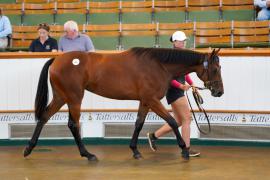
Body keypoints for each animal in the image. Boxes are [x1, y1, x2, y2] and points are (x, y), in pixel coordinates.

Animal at [23, 47, 224, 161]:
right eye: (215, 69)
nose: (219, 91)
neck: (158, 65)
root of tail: (57, 59)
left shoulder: (145, 101)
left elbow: (139, 123)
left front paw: (135, 150)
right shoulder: (152, 100)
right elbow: (173, 122)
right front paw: (184, 149)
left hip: (61, 97)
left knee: (44, 117)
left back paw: (29, 148)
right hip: (74, 98)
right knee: (73, 124)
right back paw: (88, 154)